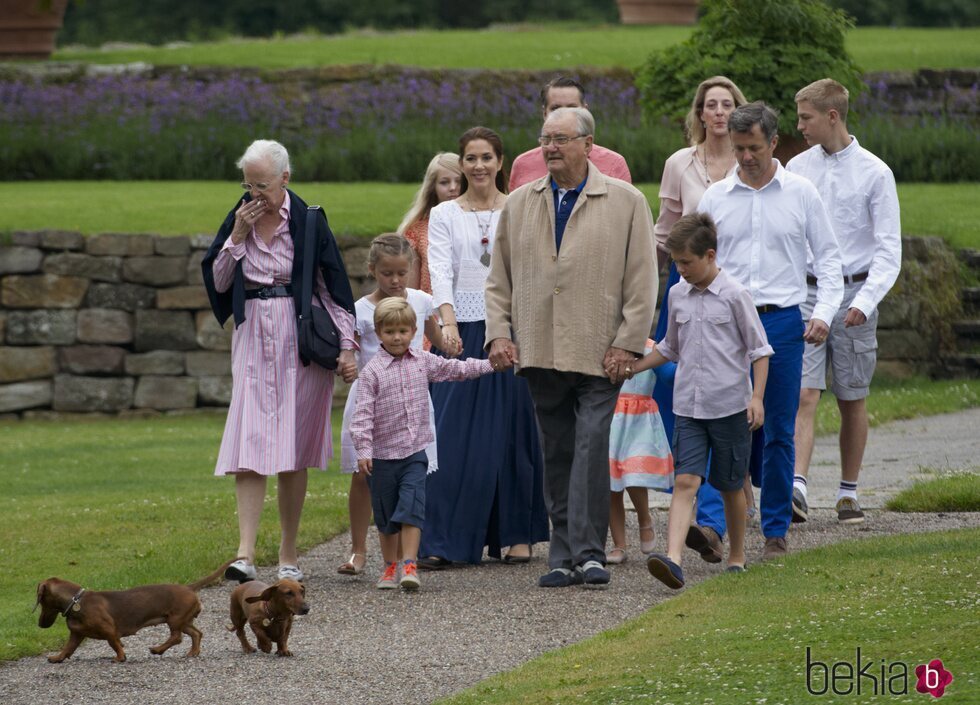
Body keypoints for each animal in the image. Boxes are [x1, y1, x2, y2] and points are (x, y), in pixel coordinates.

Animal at [36, 560, 232, 660]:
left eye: (41, 601)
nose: (40, 625)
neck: (77, 601)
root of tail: (189, 588)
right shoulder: (76, 634)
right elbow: (68, 648)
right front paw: (57, 658)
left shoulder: (109, 630)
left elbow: (114, 643)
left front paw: (120, 657)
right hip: (182, 620)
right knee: (196, 634)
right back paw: (192, 652)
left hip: (175, 620)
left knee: (177, 637)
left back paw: (158, 649)